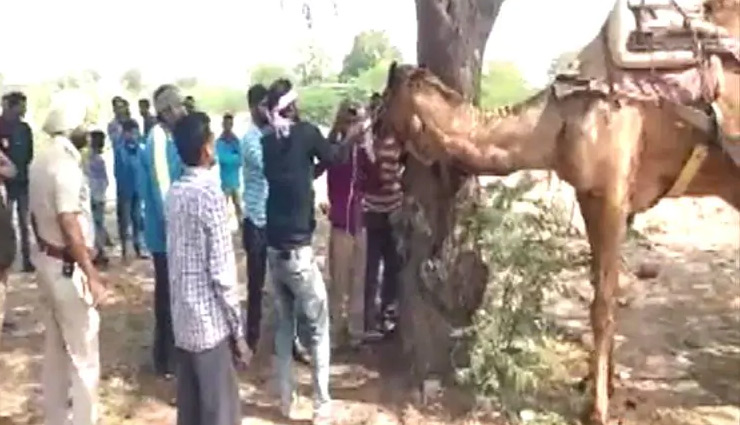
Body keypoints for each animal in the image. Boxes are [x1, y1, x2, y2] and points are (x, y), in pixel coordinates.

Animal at [374, 1, 740, 424]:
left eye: (384, 99)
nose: (373, 130)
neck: (559, 119)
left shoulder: (612, 191)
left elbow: (603, 303)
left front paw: (595, 408)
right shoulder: (590, 195)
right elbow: (602, 290)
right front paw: (596, 385)